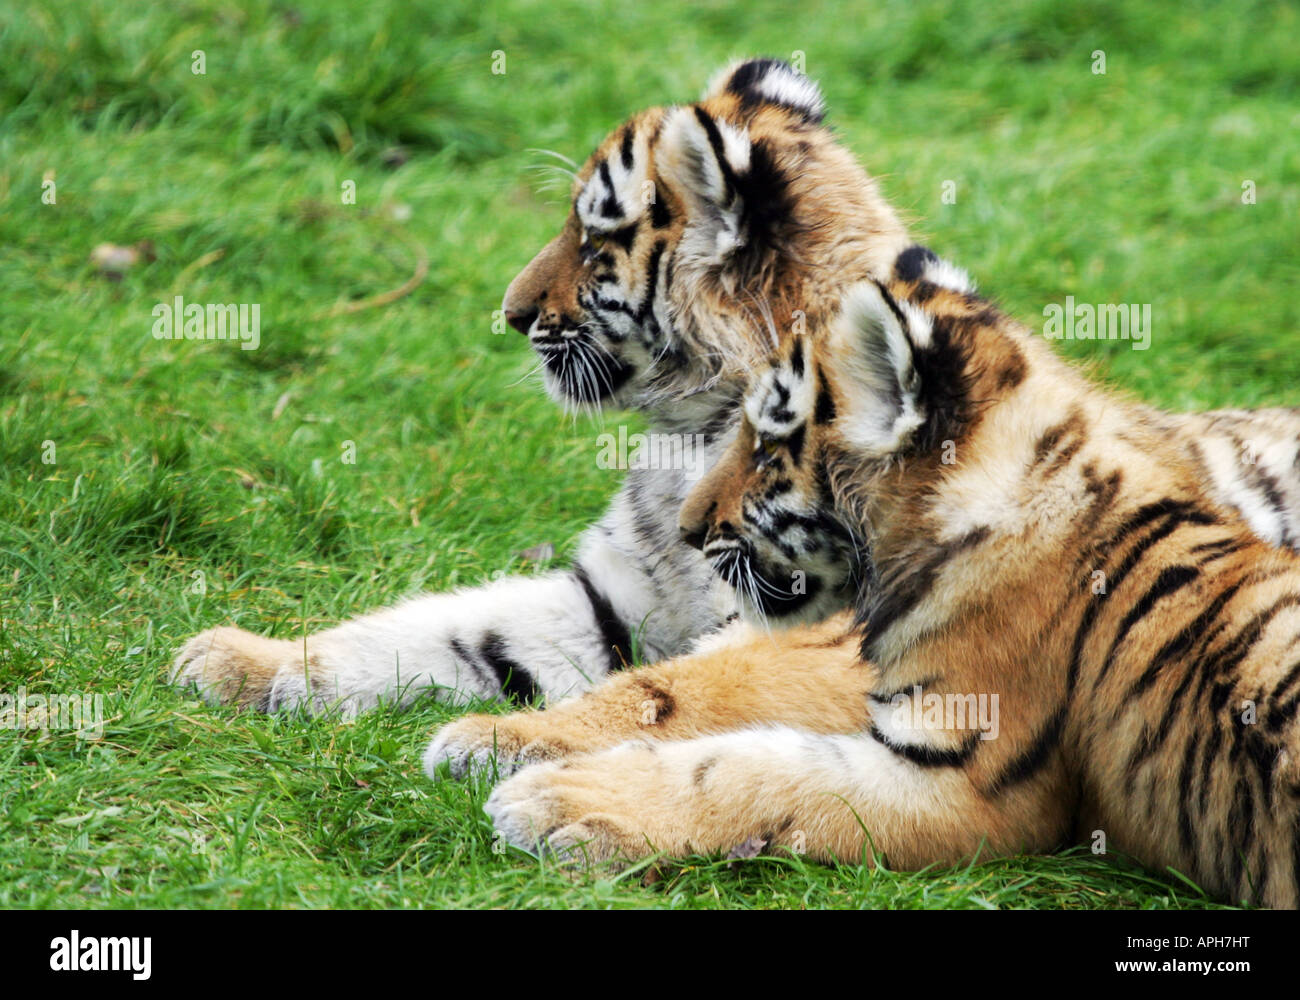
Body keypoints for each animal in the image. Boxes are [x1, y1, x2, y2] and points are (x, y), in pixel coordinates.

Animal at [171, 57, 1300, 771]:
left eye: (593, 236)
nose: (510, 313)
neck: (691, 425)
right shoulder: (612, 590)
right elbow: (435, 625)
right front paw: (243, 660)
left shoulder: (821, 633)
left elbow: (667, 692)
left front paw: (500, 745)